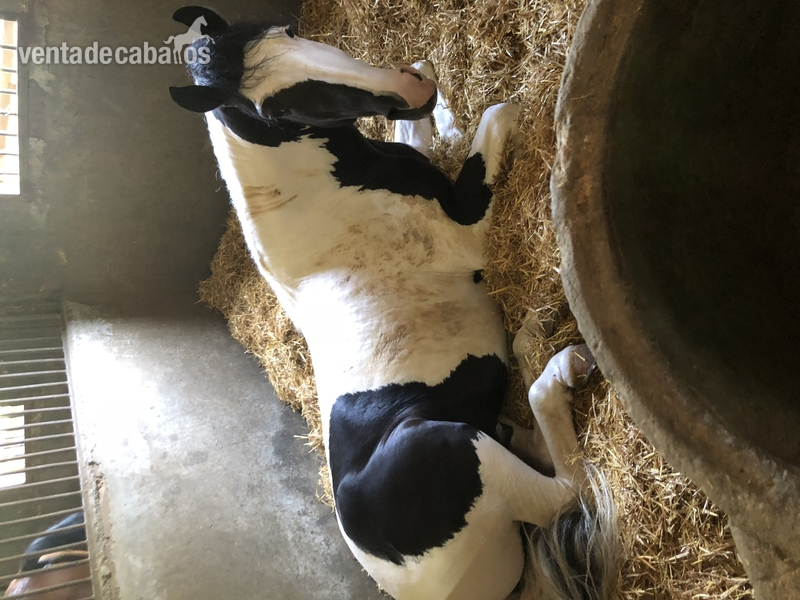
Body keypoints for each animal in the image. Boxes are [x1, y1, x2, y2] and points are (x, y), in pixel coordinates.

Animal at [169, 7, 620, 599]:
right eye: (278, 108)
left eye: (289, 32)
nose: (410, 86)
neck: (318, 198)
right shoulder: (465, 229)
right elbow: (497, 115)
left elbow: (430, 130)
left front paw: (441, 103)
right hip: (447, 445)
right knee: (568, 487)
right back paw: (564, 366)